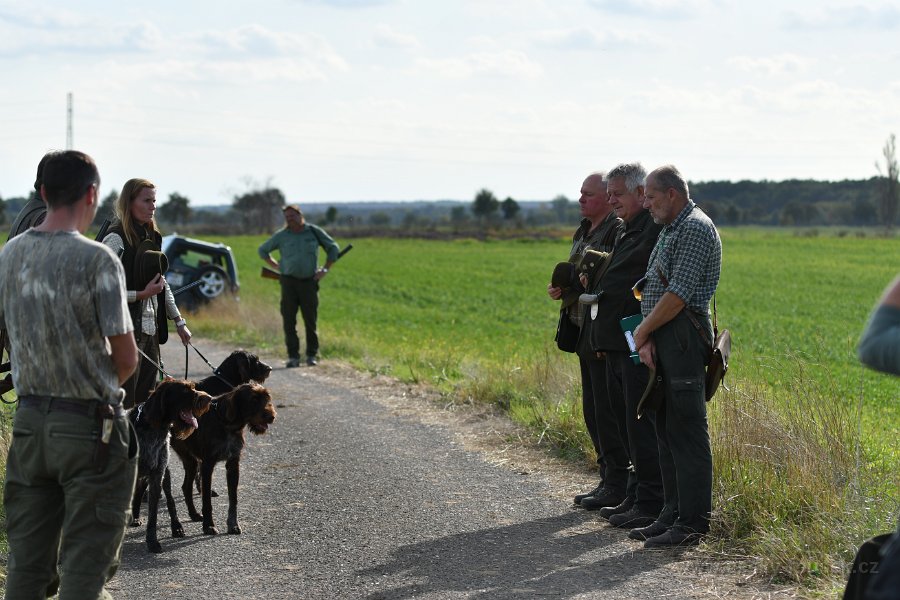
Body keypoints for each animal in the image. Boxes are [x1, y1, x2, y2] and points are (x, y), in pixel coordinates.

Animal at [128, 380, 213, 552]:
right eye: (185, 391)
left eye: (193, 387)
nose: (210, 398)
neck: (152, 427)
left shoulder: (157, 475)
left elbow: (153, 516)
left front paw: (152, 541)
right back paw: (135, 517)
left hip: (164, 474)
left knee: (169, 500)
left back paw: (176, 526)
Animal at [169, 380, 274, 536]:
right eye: (254, 399)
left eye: (267, 398)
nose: (272, 416)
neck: (226, 423)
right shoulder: (207, 465)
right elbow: (207, 500)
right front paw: (209, 526)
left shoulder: (233, 464)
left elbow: (233, 499)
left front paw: (233, 524)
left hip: (192, 462)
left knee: (186, 487)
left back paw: (194, 514)